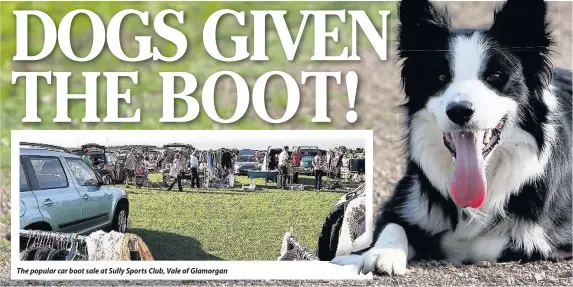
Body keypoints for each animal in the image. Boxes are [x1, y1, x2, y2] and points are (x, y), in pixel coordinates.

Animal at [332, 0, 568, 276]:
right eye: (441, 77)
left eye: (495, 76)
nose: (460, 111)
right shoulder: (405, 198)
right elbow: (394, 224)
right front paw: (381, 254)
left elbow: (489, 243)